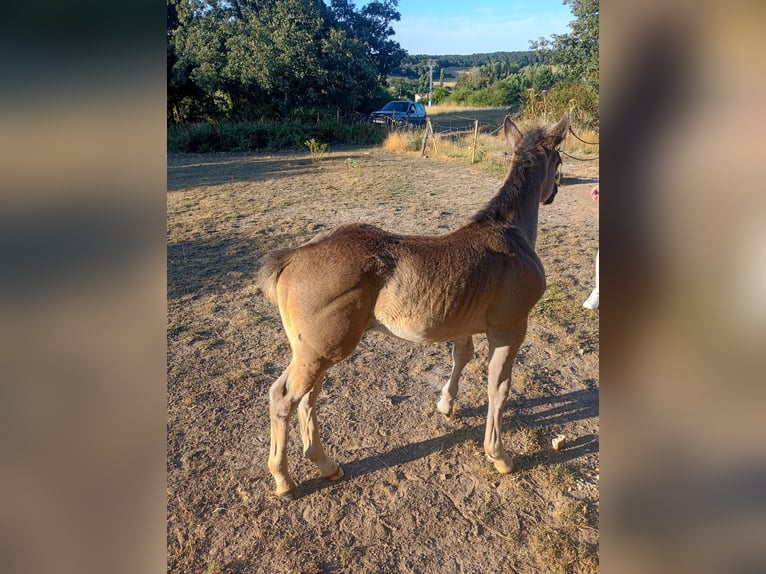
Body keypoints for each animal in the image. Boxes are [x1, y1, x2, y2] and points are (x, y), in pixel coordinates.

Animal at [257, 113, 568, 499]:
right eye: (559, 161)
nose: (554, 193)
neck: (511, 233)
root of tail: (293, 256)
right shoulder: (510, 331)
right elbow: (499, 388)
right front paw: (499, 456)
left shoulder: (463, 324)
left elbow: (462, 356)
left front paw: (447, 405)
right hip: (319, 353)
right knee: (284, 398)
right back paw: (283, 480)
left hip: (315, 353)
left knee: (306, 399)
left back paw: (327, 466)